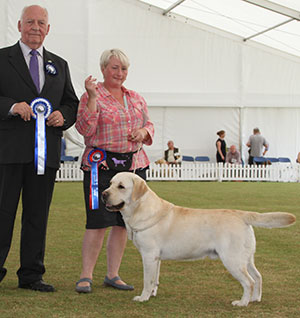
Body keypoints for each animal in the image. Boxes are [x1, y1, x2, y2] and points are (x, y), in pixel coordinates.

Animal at [101, 173, 296, 306]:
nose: (103, 194)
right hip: (246, 258)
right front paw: (152, 294)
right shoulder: (156, 258)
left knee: (249, 282)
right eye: (110, 184)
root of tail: (241, 214)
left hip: (232, 259)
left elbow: (147, 280)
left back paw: (242, 303)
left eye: (121, 186)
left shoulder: (149, 255)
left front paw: (143, 297)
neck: (140, 209)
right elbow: (154, 278)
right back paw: (255, 299)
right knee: (258, 277)